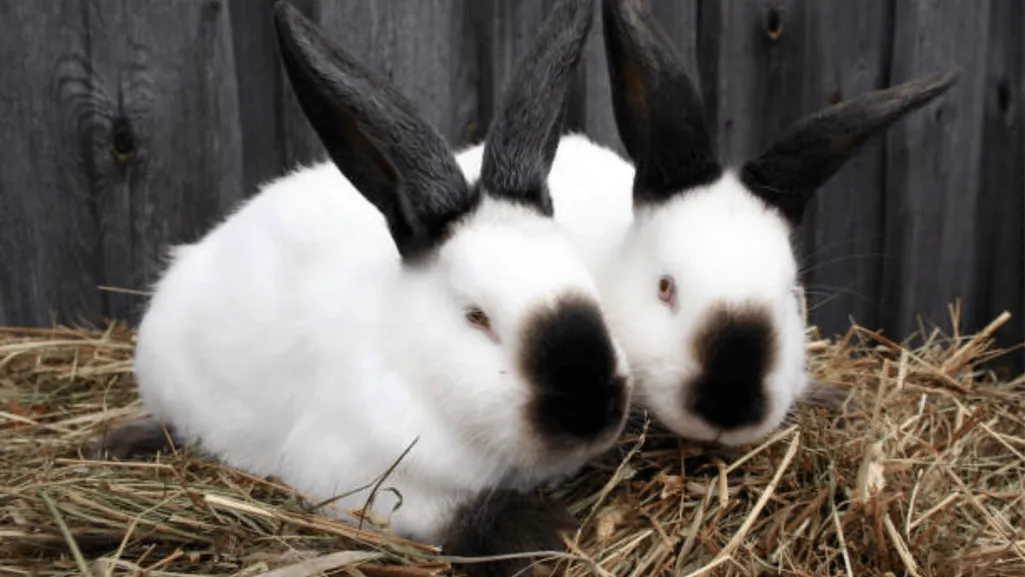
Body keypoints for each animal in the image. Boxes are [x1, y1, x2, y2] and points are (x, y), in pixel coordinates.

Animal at [98, 0, 632, 569]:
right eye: (477, 317)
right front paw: (543, 530)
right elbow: (448, 513)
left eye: (586, 282)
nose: (593, 407)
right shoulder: (362, 479)